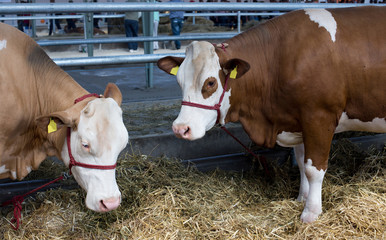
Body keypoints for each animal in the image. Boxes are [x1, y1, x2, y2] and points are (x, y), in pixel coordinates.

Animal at [158, 5, 386, 223]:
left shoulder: (319, 117)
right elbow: (301, 162)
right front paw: (301, 198)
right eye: (179, 80)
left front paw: (311, 212)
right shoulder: (297, 121)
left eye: (211, 82)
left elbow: (314, 169)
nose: (180, 128)